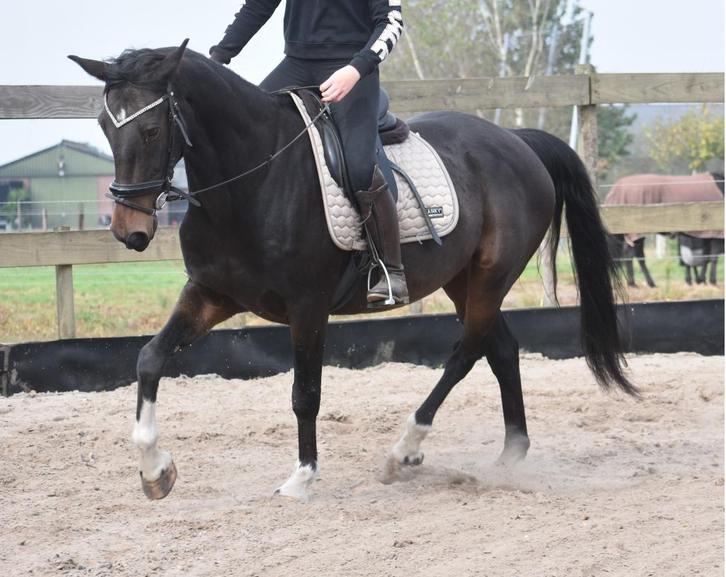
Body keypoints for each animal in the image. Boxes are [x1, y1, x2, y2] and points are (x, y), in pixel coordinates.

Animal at [68, 41, 635, 502]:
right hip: (464, 281)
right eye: (103, 127)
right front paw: (154, 471)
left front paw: (301, 478)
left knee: (467, 352)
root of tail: (515, 139)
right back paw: (510, 453)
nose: (128, 230)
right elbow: (148, 358)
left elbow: (305, 394)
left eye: (150, 129)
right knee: (501, 349)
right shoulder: (211, 293)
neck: (253, 177)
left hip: (491, 278)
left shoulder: (308, 307)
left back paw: (404, 451)